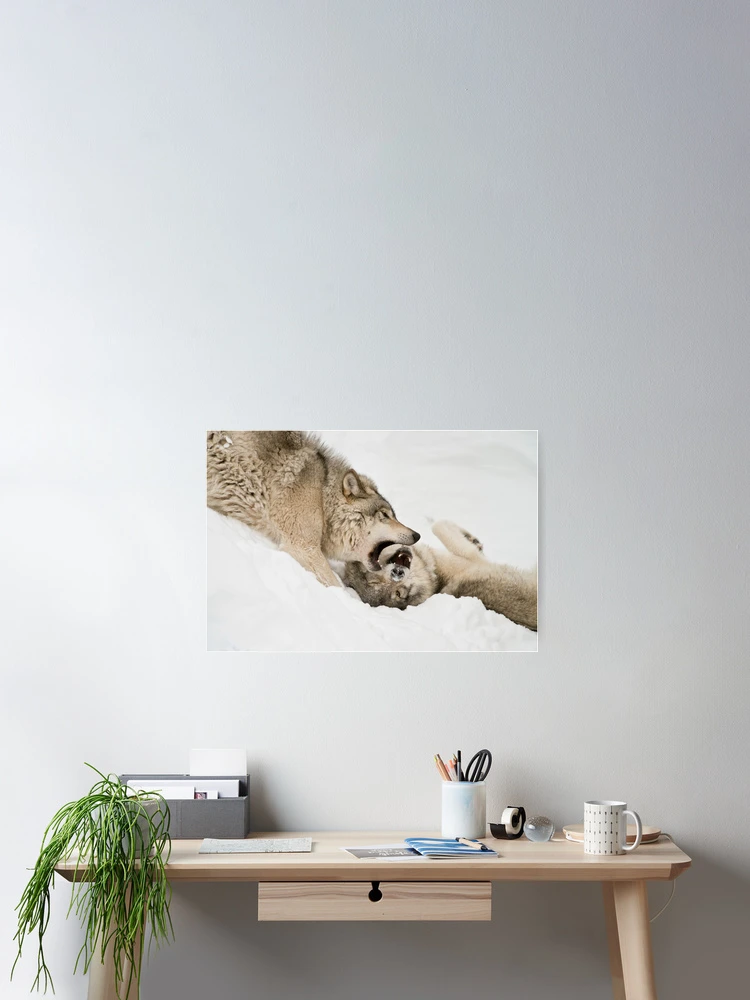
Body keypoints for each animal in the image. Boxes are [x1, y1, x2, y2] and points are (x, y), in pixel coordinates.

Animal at [207, 431, 420, 587]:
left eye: (393, 515)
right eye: (385, 515)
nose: (417, 535)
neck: (324, 498)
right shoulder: (303, 547)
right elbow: (334, 584)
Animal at [342, 520, 537, 631]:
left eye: (372, 573)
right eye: (398, 594)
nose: (396, 573)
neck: (436, 577)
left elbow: (438, 527)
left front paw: (474, 540)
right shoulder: (472, 557)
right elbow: (439, 526)